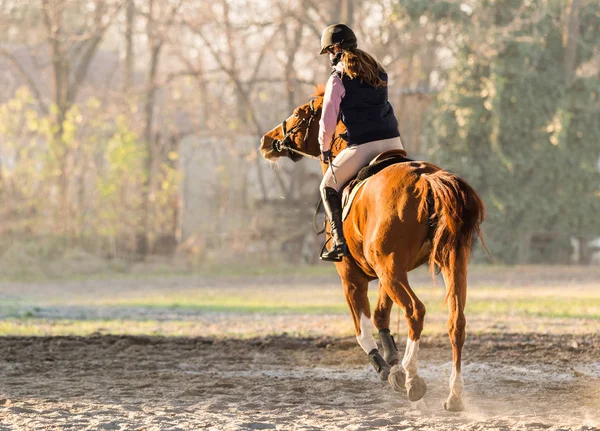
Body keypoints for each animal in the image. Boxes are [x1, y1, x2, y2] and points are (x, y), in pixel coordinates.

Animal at [260, 88, 486, 412]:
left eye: (299, 113)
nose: (267, 141)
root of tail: (425, 178)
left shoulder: (352, 277)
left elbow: (362, 329)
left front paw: (387, 368)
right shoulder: (388, 271)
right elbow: (381, 316)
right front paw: (392, 362)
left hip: (392, 271)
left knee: (415, 311)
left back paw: (412, 378)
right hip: (447, 263)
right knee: (456, 322)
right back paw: (453, 395)